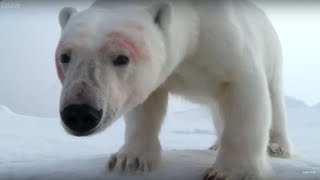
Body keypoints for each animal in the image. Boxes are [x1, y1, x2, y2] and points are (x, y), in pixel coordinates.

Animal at [55, 0, 292, 179]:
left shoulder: (225, 41)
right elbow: (145, 106)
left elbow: (244, 89)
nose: (79, 113)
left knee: (274, 98)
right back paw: (215, 144)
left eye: (122, 58)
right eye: (64, 56)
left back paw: (277, 147)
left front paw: (229, 173)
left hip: (273, 52)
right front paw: (129, 160)